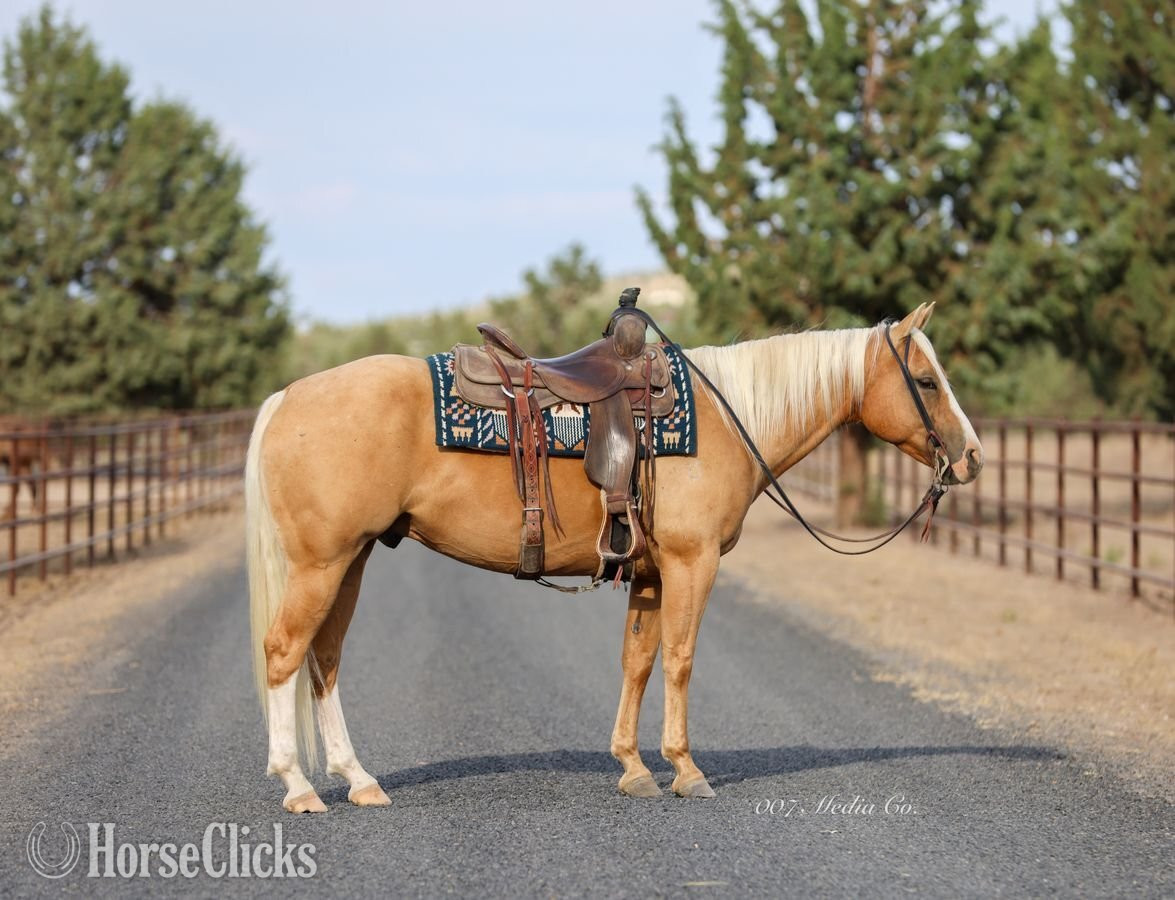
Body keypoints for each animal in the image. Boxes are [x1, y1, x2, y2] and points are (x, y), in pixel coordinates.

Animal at [245, 301, 982, 812]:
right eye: (925, 380)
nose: (972, 456)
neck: (725, 419)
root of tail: (286, 396)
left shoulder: (651, 572)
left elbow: (639, 660)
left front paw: (632, 767)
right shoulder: (692, 562)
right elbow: (680, 659)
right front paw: (685, 769)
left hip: (350, 561)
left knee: (324, 661)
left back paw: (358, 779)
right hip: (322, 565)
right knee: (284, 653)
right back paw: (298, 786)